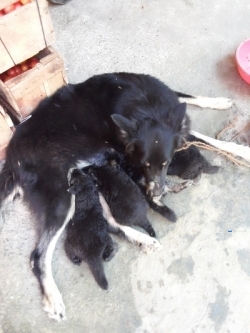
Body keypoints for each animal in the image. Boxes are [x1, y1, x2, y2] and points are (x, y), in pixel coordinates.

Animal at [0, 72, 229, 320]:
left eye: (166, 163)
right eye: (145, 165)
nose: (156, 193)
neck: (145, 104)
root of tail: (11, 158)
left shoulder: (172, 110)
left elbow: (194, 107)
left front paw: (221, 105)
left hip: (86, 179)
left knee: (109, 220)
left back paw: (142, 239)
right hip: (63, 197)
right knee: (38, 256)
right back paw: (53, 298)